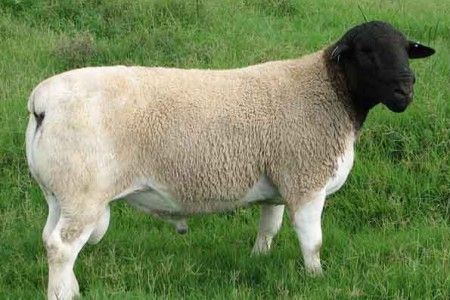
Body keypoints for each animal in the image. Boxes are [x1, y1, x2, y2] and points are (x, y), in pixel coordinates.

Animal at [26, 20, 434, 298]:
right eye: (366, 51)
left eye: (406, 49)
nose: (406, 89)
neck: (328, 91)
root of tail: (41, 102)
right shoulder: (305, 180)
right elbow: (312, 241)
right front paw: (317, 278)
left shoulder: (278, 184)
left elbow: (268, 229)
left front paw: (258, 260)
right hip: (83, 190)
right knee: (62, 247)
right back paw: (61, 294)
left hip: (59, 191)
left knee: (49, 239)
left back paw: (72, 289)